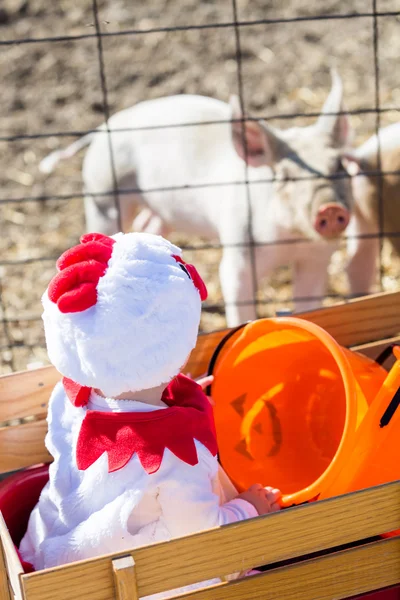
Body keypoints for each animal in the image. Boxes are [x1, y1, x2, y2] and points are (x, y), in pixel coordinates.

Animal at [39, 74, 360, 328]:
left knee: (149, 225)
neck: (291, 240)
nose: (330, 208)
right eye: (284, 176)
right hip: (103, 194)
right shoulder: (238, 249)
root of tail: (102, 129)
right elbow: (236, 290)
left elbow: (309, 300)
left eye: (339, 166)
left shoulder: (317, 257)